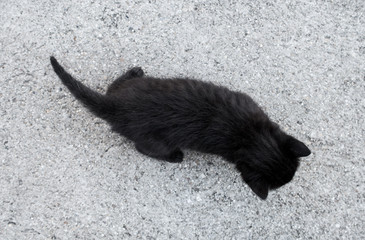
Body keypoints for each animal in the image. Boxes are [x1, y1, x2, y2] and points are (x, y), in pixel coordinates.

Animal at [49, 56, 310, 199]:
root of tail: (116, 106)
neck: (251, 137)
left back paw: (133, 71)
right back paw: (176, 156)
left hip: (134, 86)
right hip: (155, 142)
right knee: (142, 148)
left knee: (114, 84)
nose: (291, 181)